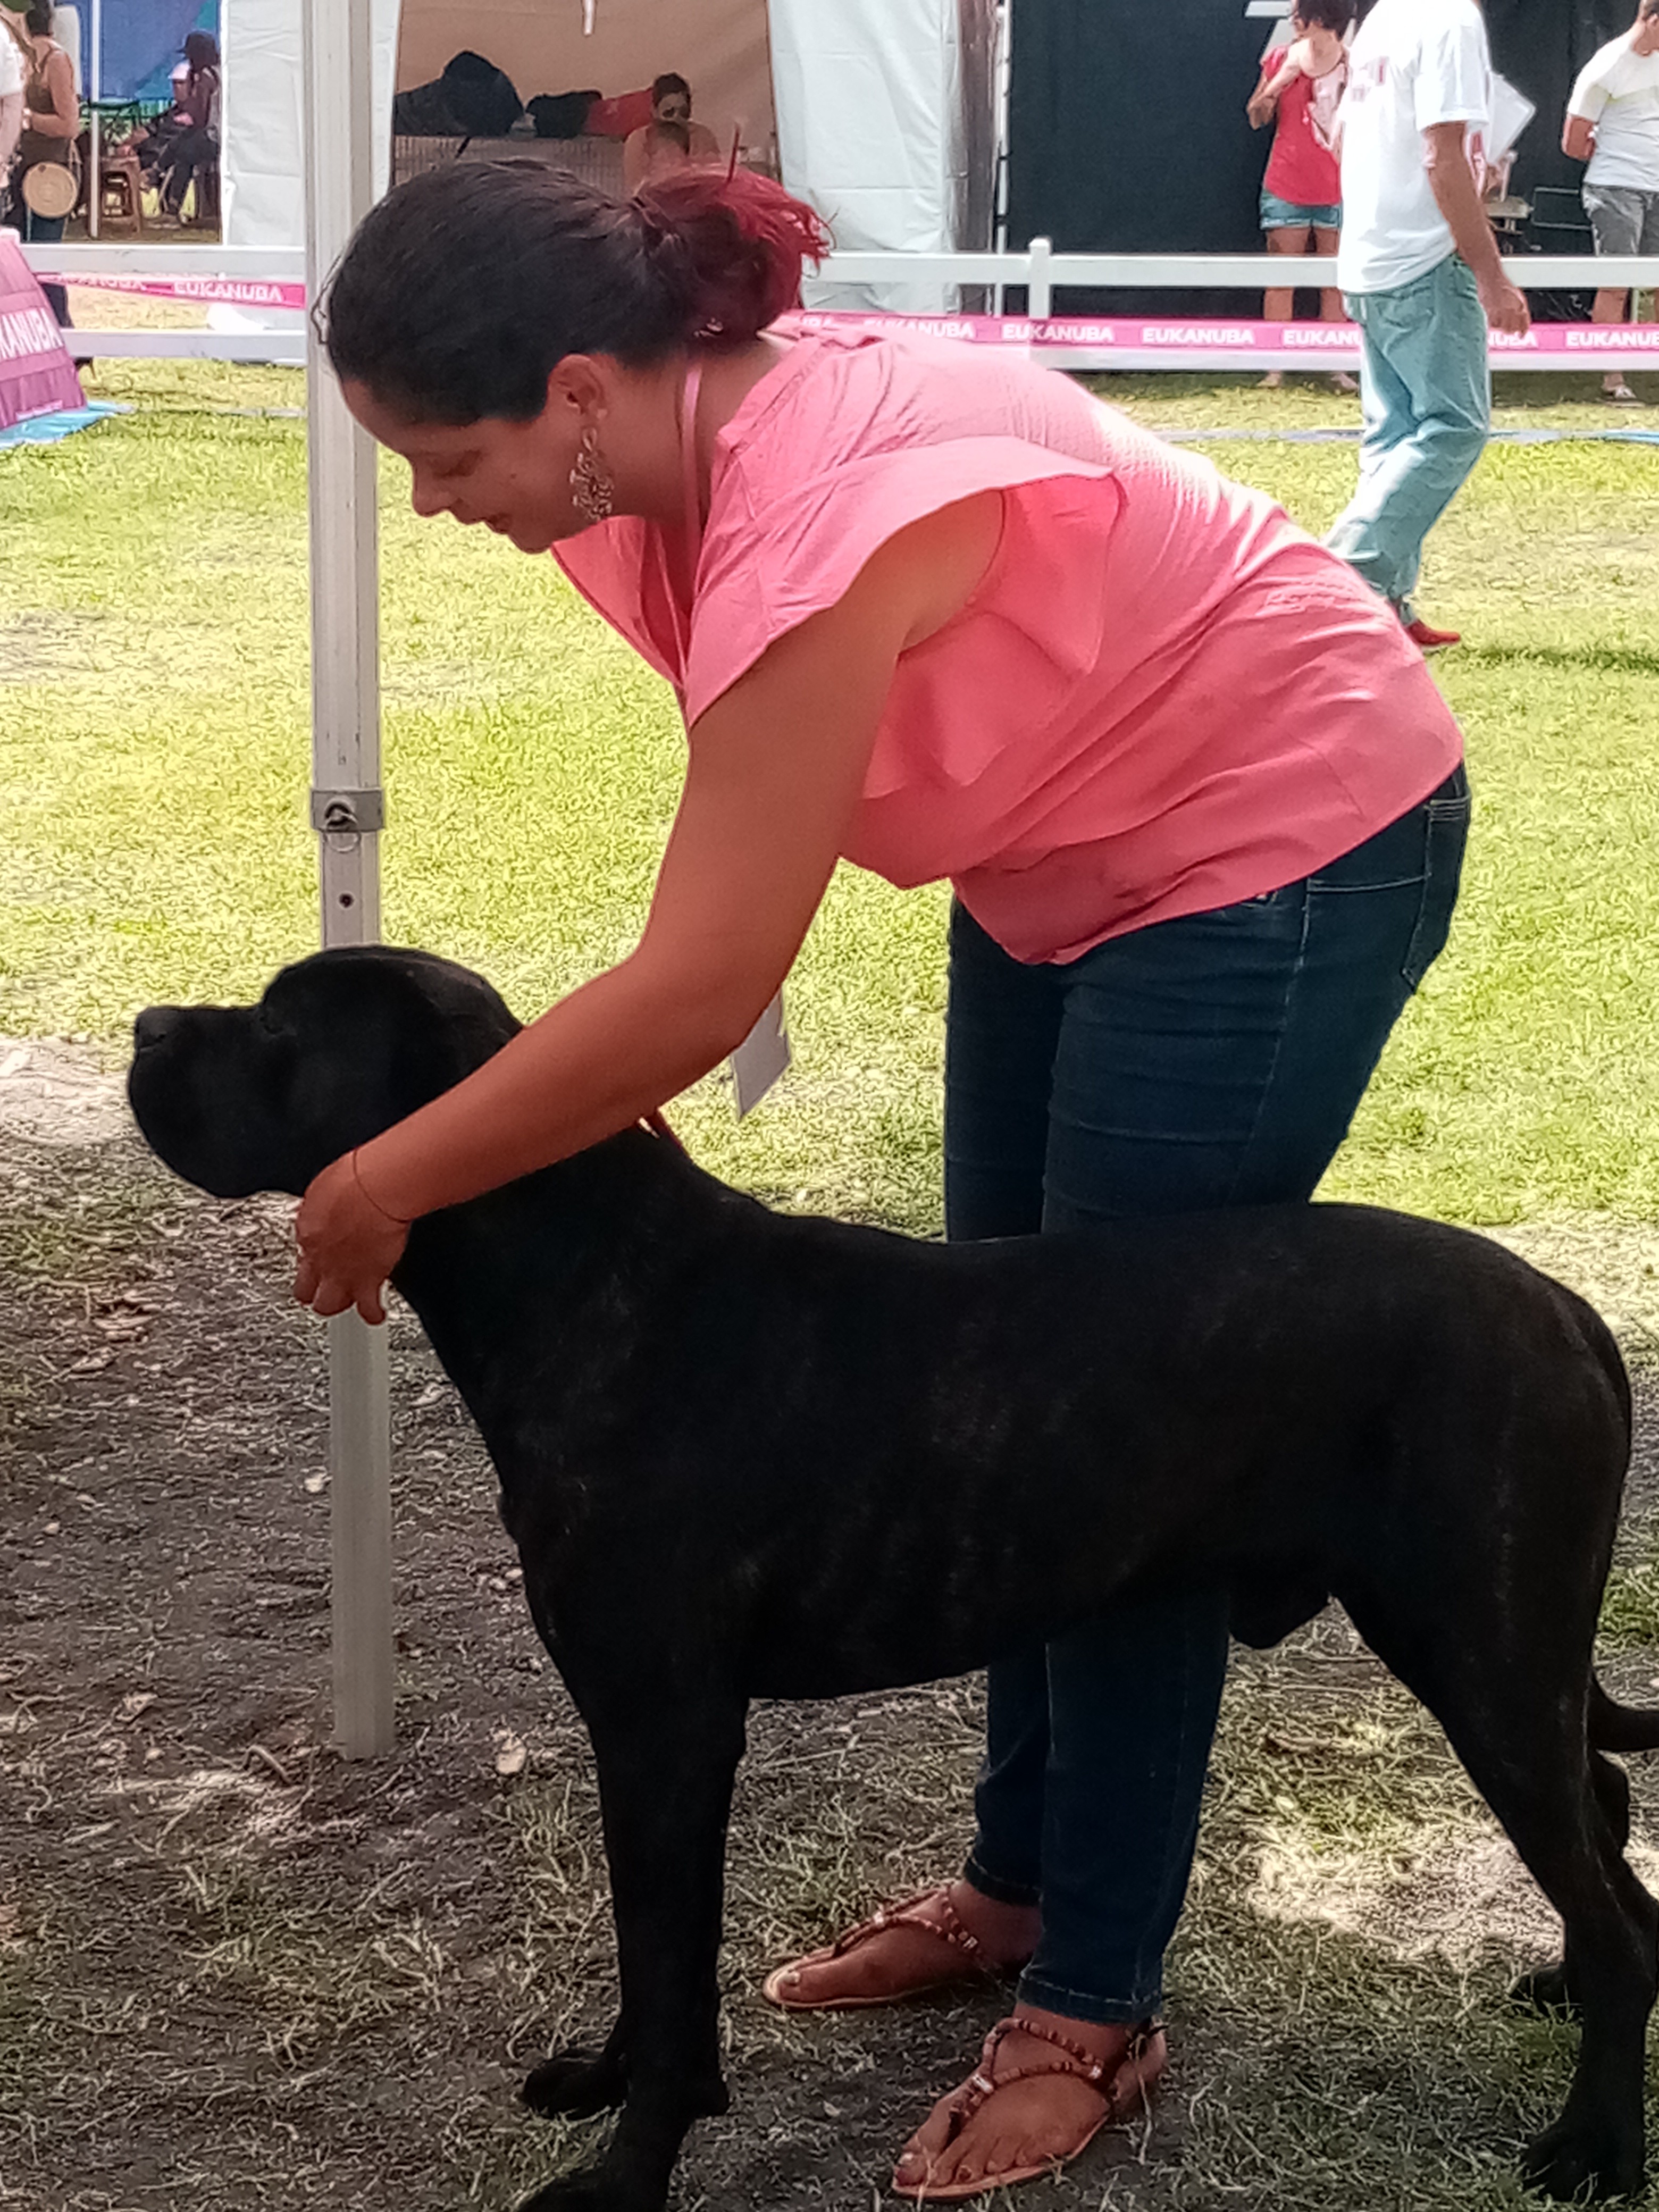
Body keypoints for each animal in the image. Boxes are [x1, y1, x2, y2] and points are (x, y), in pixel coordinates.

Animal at [127, 942, 1659, 2203]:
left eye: (277, 1027)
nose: (145, 1023)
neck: (583, 1278)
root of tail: (1567, 1308)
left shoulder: (670, 1729)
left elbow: (670, 1964)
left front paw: (629, 2170)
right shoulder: (639, 1738)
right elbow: (641, 1946)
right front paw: (608, 2082)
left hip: (1480, 1648)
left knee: (1612, 1895)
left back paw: (1595, 2142)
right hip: (1498, 1653)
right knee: (1607, 1813)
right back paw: (1564, 1991)